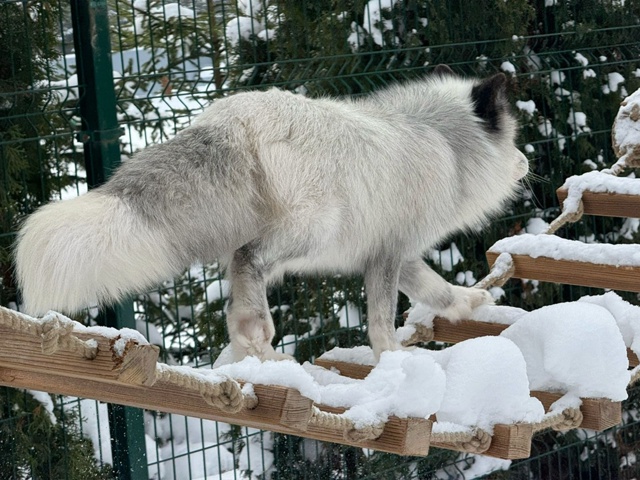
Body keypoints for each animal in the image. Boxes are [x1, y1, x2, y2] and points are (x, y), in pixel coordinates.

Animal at [15, 65, 529, 362]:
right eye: (515, 138)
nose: (527, 162)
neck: (443, 142)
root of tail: (230, 118)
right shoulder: (388, 253)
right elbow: (381, 321)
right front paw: (391, 361)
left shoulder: (394, 254)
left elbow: (436, 290)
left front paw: (468, 302)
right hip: (315, 229)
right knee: (246, 257)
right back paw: (253, 329)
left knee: (240, 267)